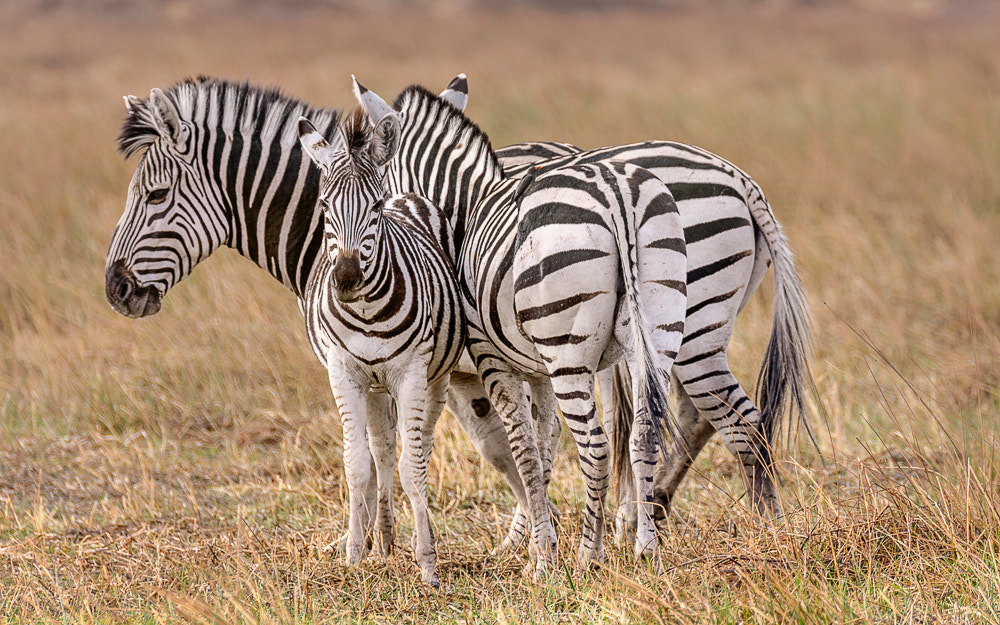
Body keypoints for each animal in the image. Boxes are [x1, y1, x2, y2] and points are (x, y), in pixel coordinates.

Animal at [296, 104, 466, 588]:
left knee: (417, 451)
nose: (346, 278)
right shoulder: (345, 372)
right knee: (383, 449)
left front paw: (428, 563)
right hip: (373, 385)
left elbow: (413, 467)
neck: (368, 311)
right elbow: (357, 463)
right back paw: (384, 538)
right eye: (323, 205)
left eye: (372, 206)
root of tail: (406, 194)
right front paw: (355, 553)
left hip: (436, 378)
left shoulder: (411, 374)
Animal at [353, 77, 689, 571]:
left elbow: (525, 450)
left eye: (378, 196)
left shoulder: (494, 359)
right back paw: (646, 550)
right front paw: (537, 540)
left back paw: (589, 556)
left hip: (569, 350)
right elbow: (544, 445)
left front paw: (543, 559)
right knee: (643, 434)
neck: (466, 208)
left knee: (596, 447)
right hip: (659, 328)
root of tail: (613, 191)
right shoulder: (538, 369)